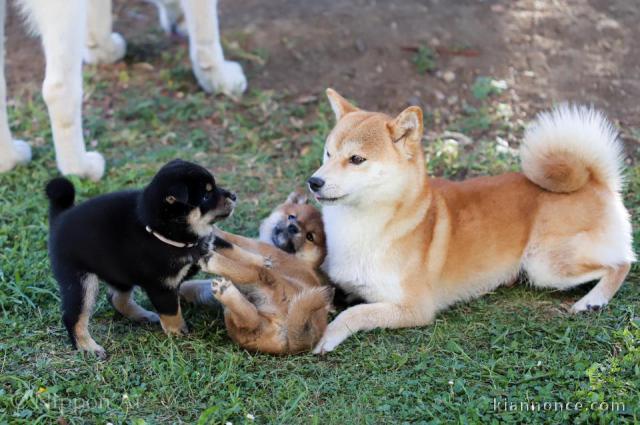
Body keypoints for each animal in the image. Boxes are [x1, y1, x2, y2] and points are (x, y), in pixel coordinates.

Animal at [46, 159, 235, 358]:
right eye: (206, 196)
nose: (234, 195)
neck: (162, 232)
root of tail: (59, 219)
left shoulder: (207, 244)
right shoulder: (162, 286)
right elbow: (172, 312)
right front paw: (179, 333)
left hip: (119, 273)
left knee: (116, 298)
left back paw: (143, 315)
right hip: (80, 279)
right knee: (74, 316)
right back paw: (87, 346)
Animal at [308, 90, 636, 354]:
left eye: (356, 159)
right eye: (328, 153)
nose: (314, 181)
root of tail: (594, 181)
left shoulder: (415, 308)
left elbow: (355, 314)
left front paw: (327, 335)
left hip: (546, 266)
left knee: (621, 263)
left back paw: (592, 300)